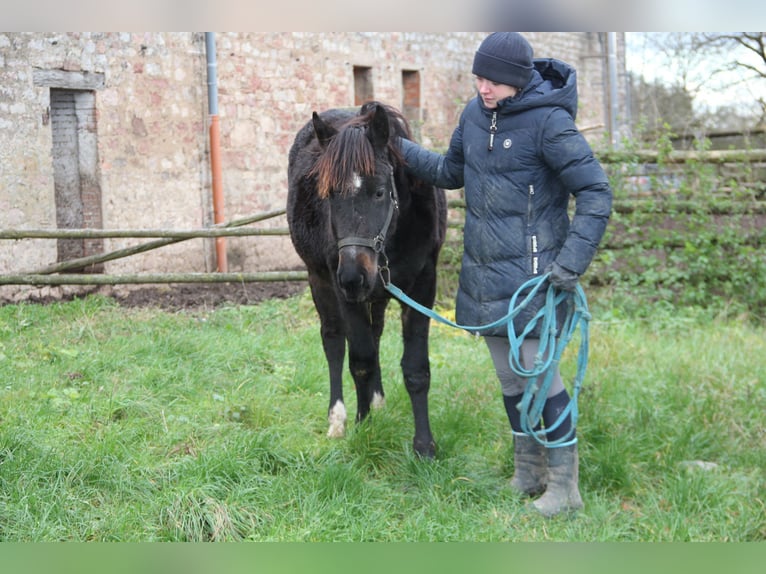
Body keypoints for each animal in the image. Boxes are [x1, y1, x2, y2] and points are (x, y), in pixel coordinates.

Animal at [284, 100, 448, 460]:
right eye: (329, 194)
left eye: (380, 192)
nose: (353, 276)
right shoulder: (343, 291)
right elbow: (360, 361)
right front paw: (365, 428)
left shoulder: (423, 286)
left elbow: (416, 369)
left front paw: (424, 446)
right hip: (321, 281)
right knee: (334, 343)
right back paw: (339, 420)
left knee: (374, 335)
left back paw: (378, 401)